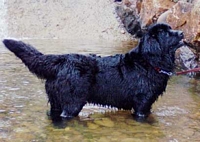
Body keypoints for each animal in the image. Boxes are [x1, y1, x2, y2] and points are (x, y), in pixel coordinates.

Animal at [2, 23, 184, 120]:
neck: (149, 63)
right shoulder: (142, 102)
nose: (182, 32)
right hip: (72, 102)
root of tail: (62, 59)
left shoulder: (147, 103)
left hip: (56, 100)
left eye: (171, 28)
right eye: (166, 33)